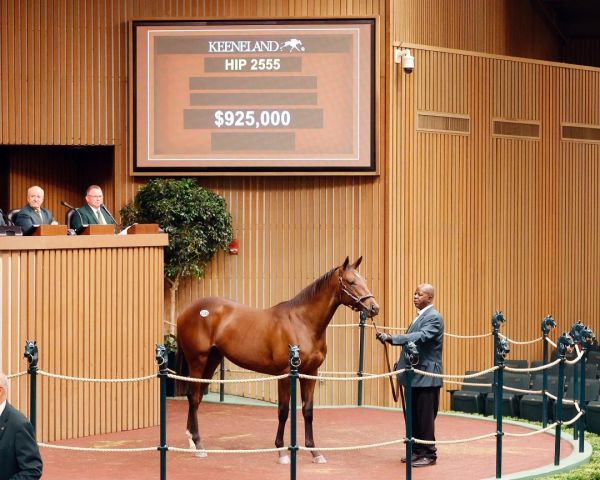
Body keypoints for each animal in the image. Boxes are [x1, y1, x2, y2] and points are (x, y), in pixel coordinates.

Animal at [176, 256, 380, 464]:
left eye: (363, 280)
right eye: (351, 282)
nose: (374, 308)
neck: (302, 323)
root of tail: (186, 311)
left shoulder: (310, 373)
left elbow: (308, 411)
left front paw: (315, 452)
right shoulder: (285, 374)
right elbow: (283, 411)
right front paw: (282, 451)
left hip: (212, 359)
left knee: (197, 398)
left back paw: (192, 441)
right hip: (197, 360)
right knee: (193, 397)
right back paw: (199, 445)